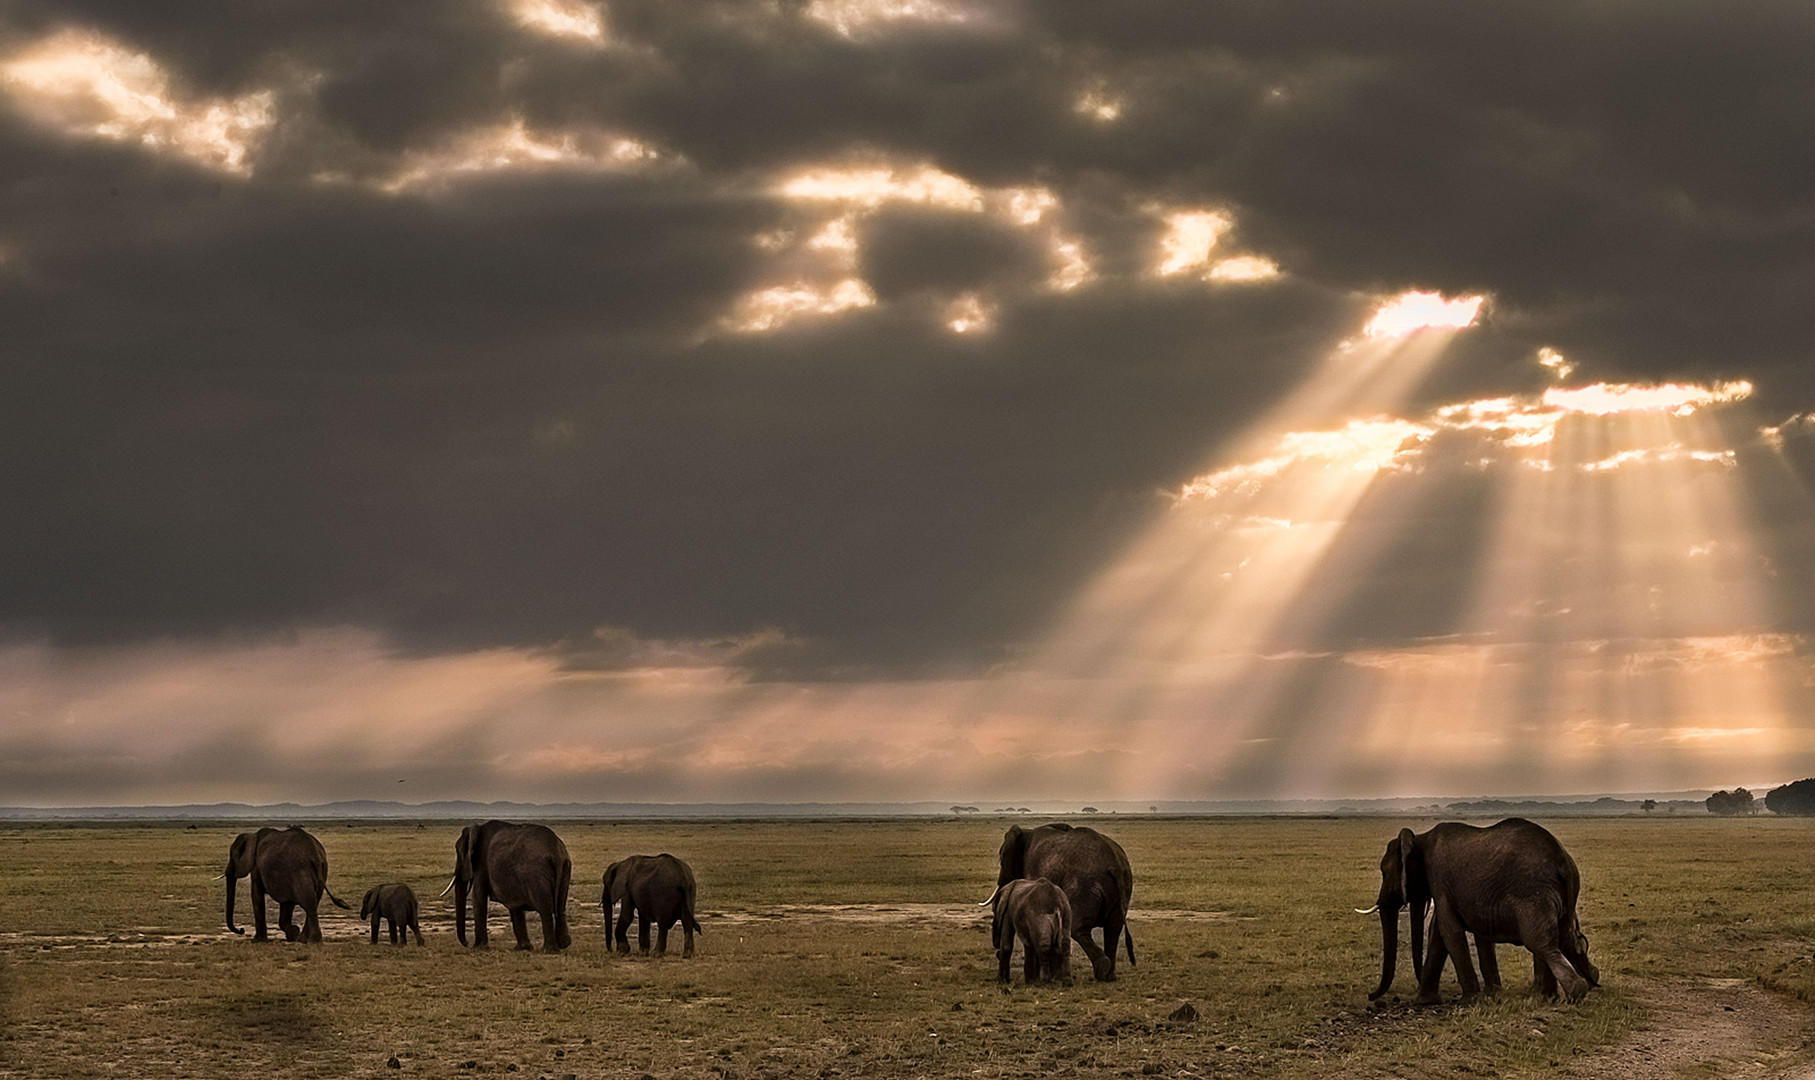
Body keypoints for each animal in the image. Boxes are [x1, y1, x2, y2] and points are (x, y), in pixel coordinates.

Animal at [444, 820, 566, 958]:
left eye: (458, 852)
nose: (467, 943)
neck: (477, 829)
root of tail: (556, 852)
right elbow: (515, 905)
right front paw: (522, 948)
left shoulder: (482, 863)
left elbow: (478, 897)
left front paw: (478, 948)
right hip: (565, 868)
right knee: (560, 906)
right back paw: (564, 944)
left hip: (537, 874)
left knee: (545, 909)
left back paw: (548, 951)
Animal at [987, 824, 1125, 987]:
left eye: (1002, 862)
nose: (996, 948)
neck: (1027, 832)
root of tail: (1115, 865)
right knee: (1113, 929)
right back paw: (1109, 976)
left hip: (1084, 887)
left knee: (1078, 929)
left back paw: (1102, 971)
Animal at [1364, 820, 1597, 1009]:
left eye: (1384, 872)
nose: (1370, 996)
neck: (1420, 837)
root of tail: (1564, 862)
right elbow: (1444, 933)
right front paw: (1428, 1001)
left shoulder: (1440, 880)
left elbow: (1449, 932)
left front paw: (1470, 1001)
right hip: (1563, 894)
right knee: (1564, 938)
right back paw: (1546, 996)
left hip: (1533, 893)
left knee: (1540, 941)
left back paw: (1573, 993)